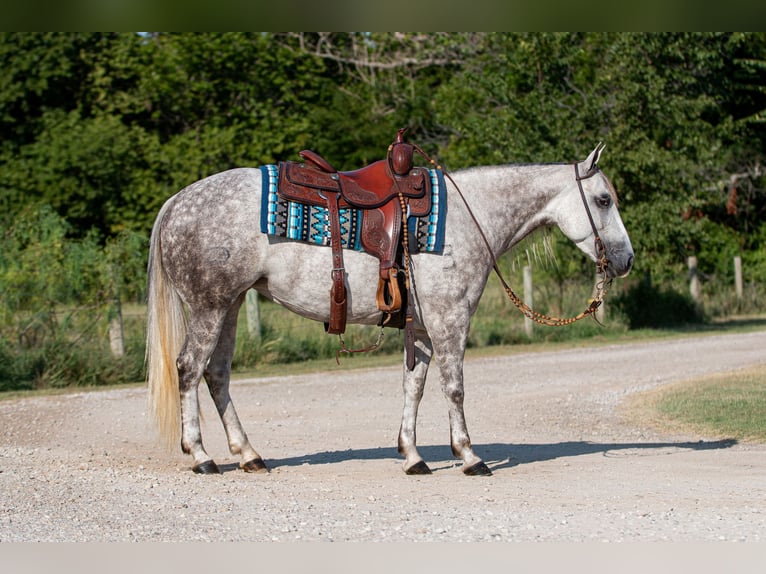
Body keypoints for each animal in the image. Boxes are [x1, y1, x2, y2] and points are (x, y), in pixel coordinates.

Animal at [146, 144, 636, 476]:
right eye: (604, 200)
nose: (626, 259)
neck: (469, 218)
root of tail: (176, 202)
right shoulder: (450, 320)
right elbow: (454, 388)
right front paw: (468, 455)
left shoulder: (420, 328)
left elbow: (413, 387)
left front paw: (413, 455)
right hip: (209, 307)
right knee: (189, 369)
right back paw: (202, 456)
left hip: (228, 307)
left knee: (217, 375)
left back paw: (248, 454)